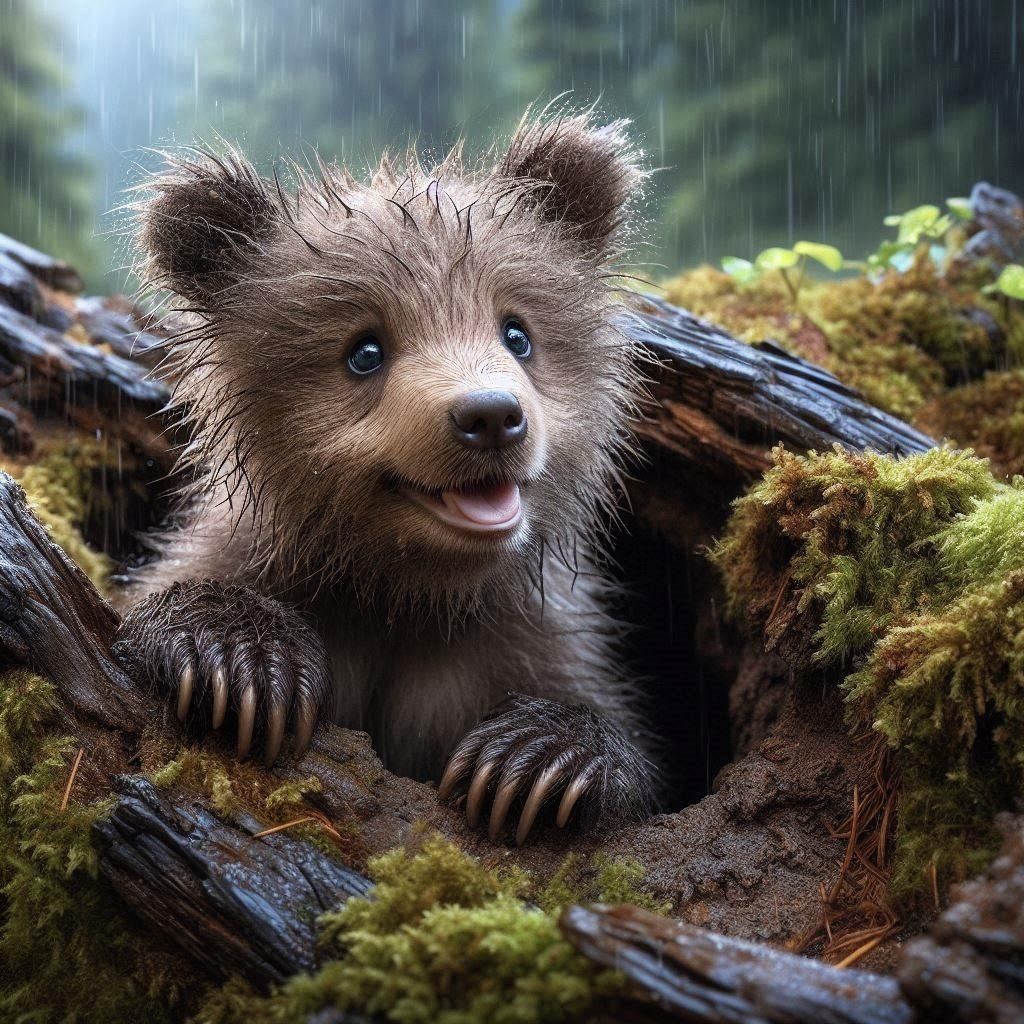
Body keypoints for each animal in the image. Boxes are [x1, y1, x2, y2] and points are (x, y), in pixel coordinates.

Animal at [114, 109, 657, 845]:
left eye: (518, 333)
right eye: (364, 351)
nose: (490, 415)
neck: (404, 592)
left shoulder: (531, 637)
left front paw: (539, 759)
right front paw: (243, 657)